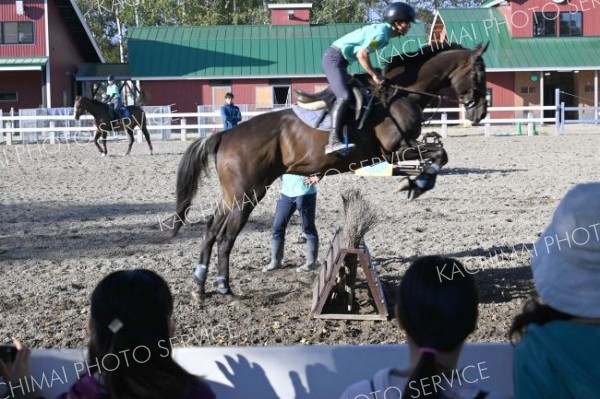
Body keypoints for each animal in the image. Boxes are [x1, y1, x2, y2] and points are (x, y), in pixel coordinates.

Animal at [163, 41, 488, 296]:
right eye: (479, 74)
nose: (479, 113)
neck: (401, 93)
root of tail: (224, 135)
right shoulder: (395, 150)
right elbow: (439, 155)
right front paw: (416, 184)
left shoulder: (400, 150)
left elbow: (438, 155)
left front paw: (415, 182)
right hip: (248, 193)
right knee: (226, 237)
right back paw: (224, 286)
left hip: (232, 194)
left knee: (210, 230)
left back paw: (200, 284)